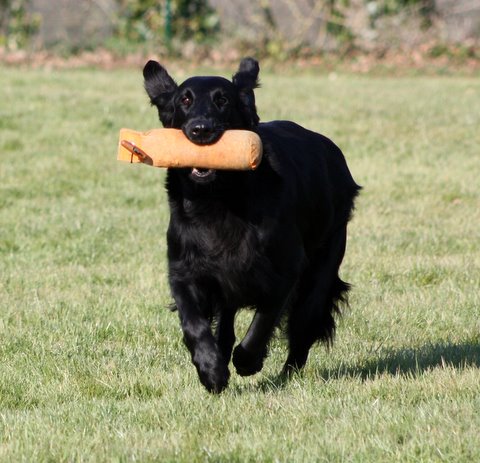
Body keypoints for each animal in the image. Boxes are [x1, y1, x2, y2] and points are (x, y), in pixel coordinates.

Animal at [143, 57, 360, 393]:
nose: (200, 130)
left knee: (303, 326)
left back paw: (286, 374)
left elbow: (264, 319)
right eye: (184, 100)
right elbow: (194, 324)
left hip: (323, 265)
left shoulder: (285, 268)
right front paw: (211, 369)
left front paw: (247, 360)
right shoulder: (185, 269)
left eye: (223, 100)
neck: (219, 199)